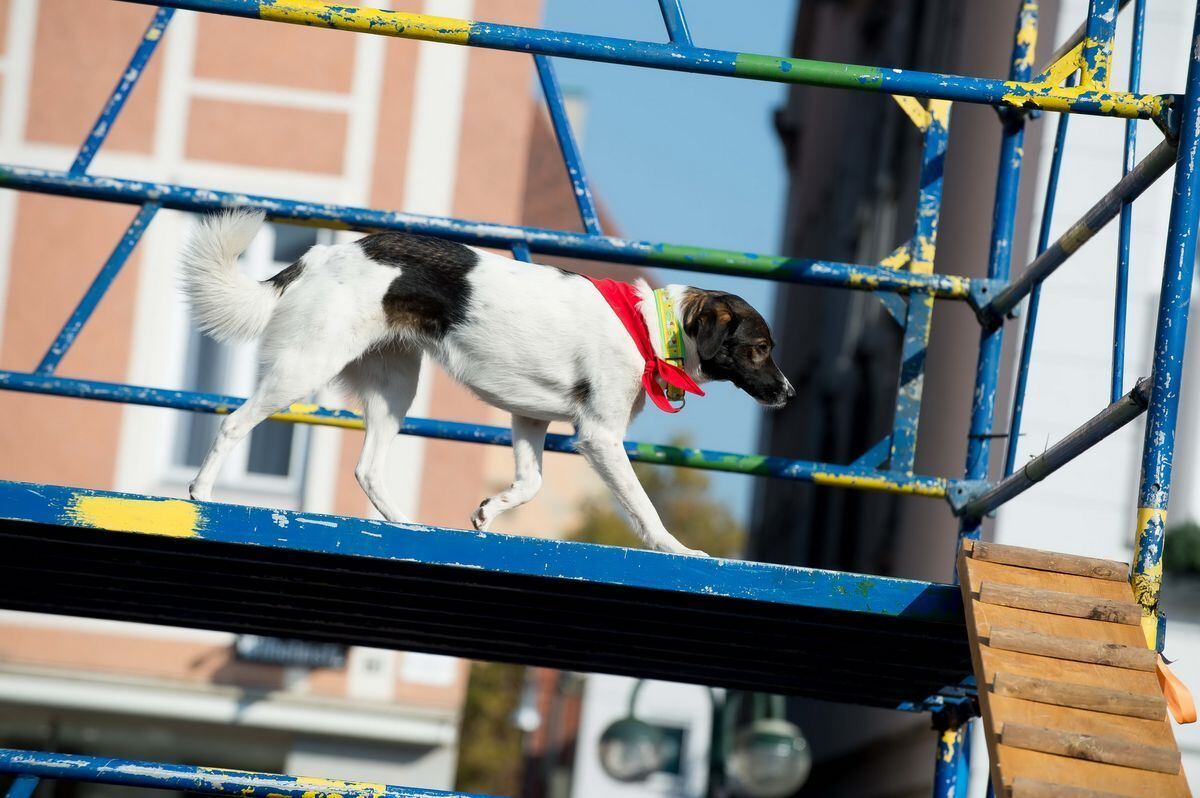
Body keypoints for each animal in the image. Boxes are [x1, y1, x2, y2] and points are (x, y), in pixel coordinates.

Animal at [182, 211, 792, 554]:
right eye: (761, 348)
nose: (788, 393)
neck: (648, 329)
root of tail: (320, 254)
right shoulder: (599, 437)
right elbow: (644, 509)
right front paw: (678, 549)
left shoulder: (531, 418)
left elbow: (531, 484)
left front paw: (488, 513)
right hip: (304, 367)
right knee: (234, 423)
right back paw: (201, 496)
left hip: (394, 390)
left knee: (368, 469)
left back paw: (408, 529)